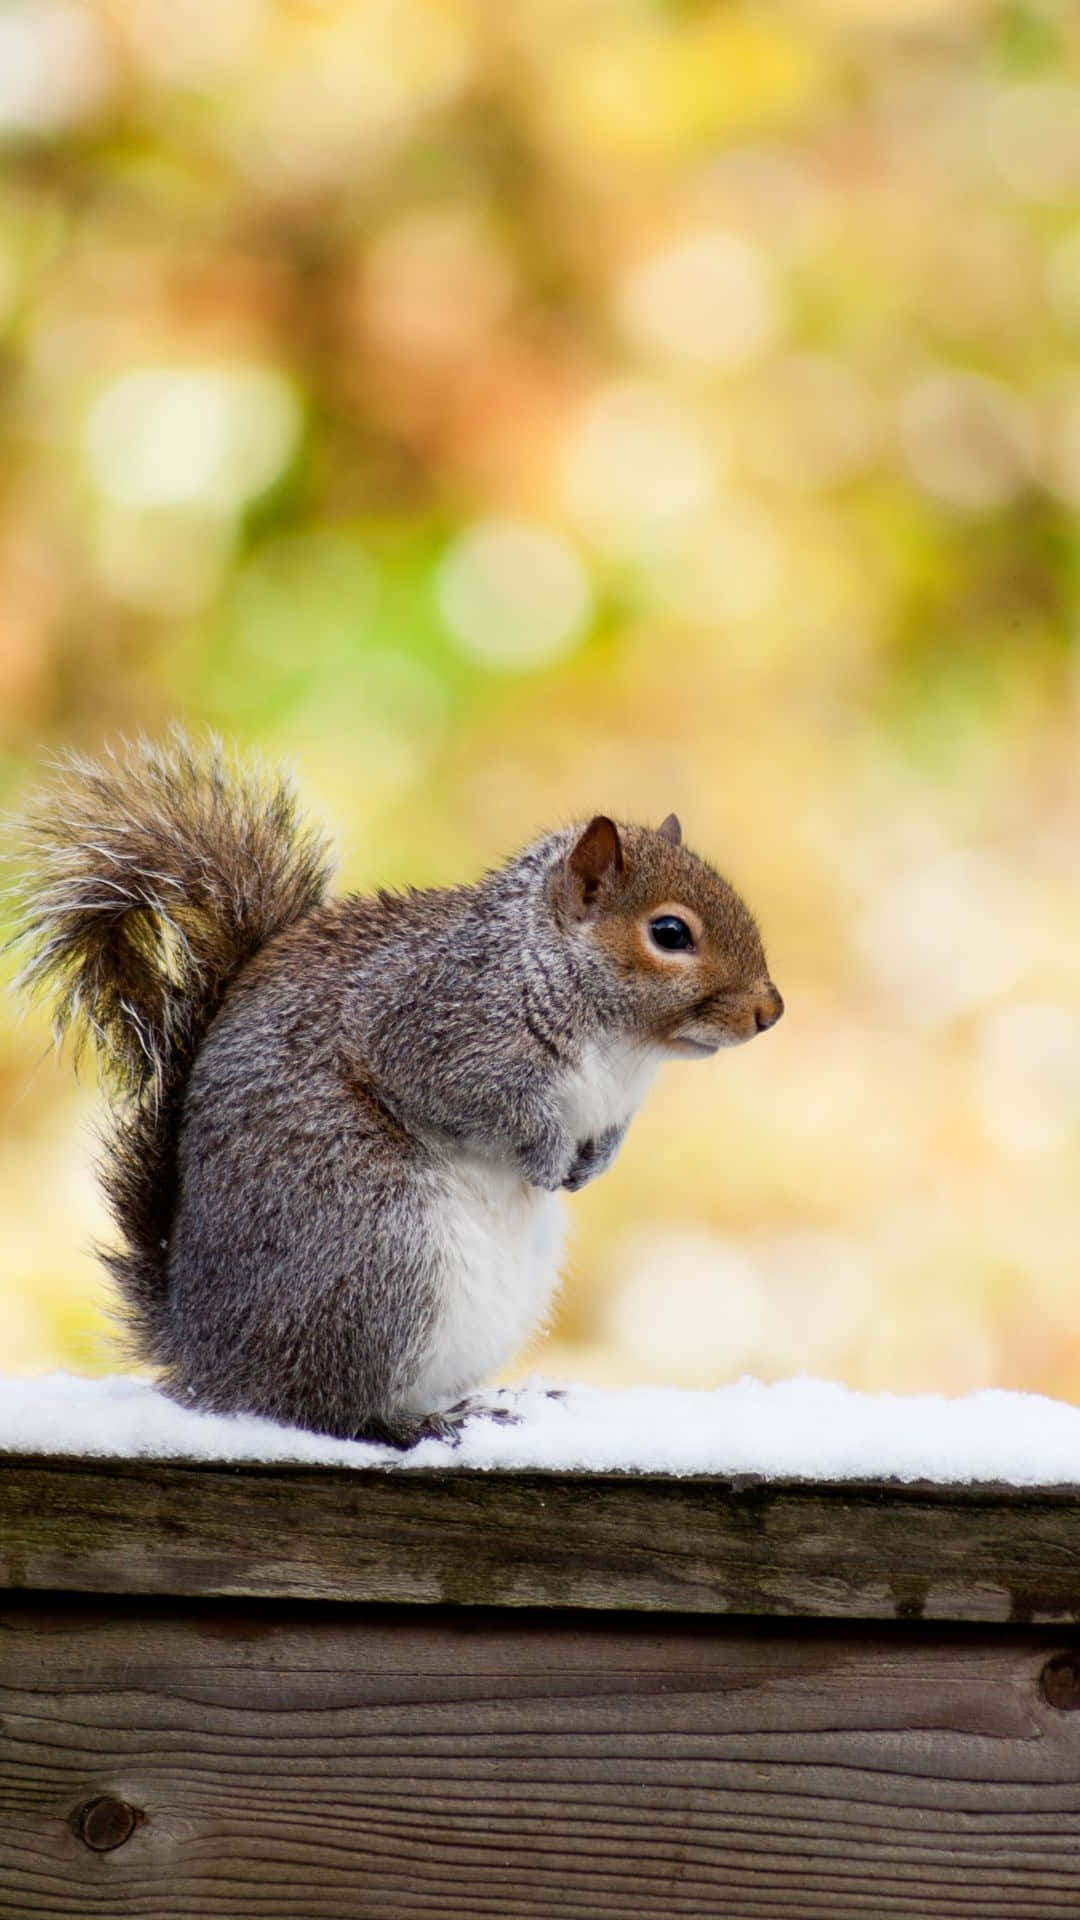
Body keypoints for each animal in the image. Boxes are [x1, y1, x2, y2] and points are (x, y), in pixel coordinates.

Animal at [12, 733, 783, 1448]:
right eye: (670, 932)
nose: (770, 1011)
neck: (623, 1046)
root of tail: (205, 1356)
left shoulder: (613, 1104)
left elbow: (608, 1135)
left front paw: (592, 1164)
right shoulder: (433, 1035)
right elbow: (493, 1111)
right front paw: (545, 1155)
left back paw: (484, 1404)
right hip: (374, 1249)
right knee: (320, 1405)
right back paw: (411, 1424)